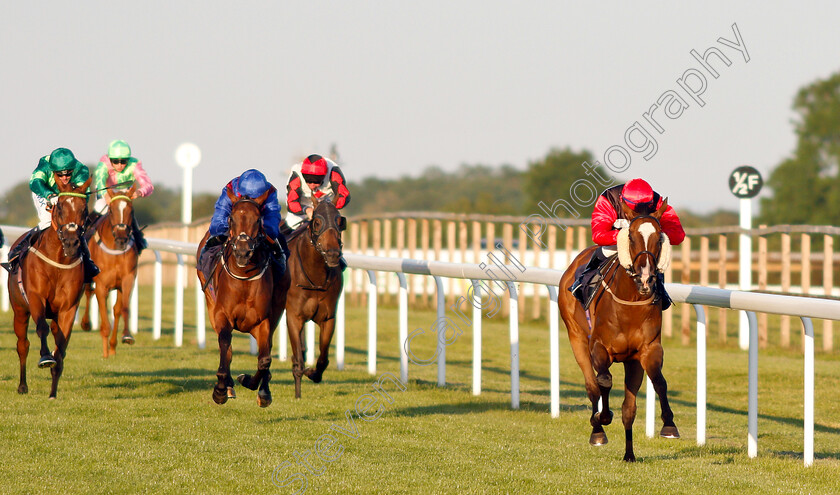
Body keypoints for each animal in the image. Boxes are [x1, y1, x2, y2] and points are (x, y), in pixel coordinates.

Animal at [9, 178, 93, 400]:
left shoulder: (68, 308)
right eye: (61, 207)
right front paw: (45, 357)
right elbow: (41, 328)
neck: (58, 260)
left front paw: (53, 392)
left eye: (84, 209)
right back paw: (22, 386)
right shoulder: (36, 298)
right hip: (19, 310)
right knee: (23, 345)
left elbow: (61, 347)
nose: (71, 243)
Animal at [80, 186, 138, 356]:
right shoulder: (101, 285)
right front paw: (105, 353)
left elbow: (122, 308)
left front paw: (125, 337)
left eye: (131, 210)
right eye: (111, 210)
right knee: (88, 293)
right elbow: (104, 318)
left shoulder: (127, 280)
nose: (121, 238)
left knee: (116, 308)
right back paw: (86, 323)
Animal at [198, 188, 292, 408]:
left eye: (258, 220)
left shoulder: (262, 321)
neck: (244, 277)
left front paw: (254, 385)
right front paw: (221, 388)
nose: (242, 252)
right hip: (210, 304)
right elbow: (225, 344)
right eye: (231, 218)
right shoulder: (221, 314)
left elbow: (265, 359)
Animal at [286, 195, 344, 400]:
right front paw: (297, 394)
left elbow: (323, 359)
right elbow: (298, 361)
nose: (333, 254)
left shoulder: (328, 318)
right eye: (317, 222)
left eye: (340, 221)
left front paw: (313, 373)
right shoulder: (293, 317)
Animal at [560, 200, 680, 464]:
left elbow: (659, 382)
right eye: (631, 237)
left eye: (659, 238)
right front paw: (602, 417)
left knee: (629, 408)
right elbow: (603, 381)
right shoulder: (598, 347)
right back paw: (597, 430)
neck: (630, 302)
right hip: (576, 339)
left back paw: (629, 454)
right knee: (592, 386)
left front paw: (669, 425)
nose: (645, 279)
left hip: (631, 362)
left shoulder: (647, 350)